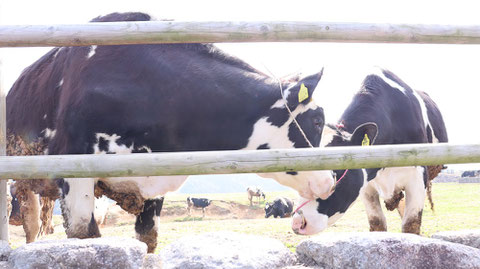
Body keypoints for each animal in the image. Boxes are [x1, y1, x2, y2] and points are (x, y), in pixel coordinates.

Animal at [5, 12, 336, 251]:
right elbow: (83, 235)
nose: (329, 180)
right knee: (30, 225)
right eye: (318, 121)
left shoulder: (156, 176)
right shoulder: (74, 171)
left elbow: (148, 238)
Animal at [290, 68, 448, 234]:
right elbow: (377, 223)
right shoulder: (366, 185)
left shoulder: (417, 177)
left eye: (335, 173)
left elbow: (411, 224)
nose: (298, 222)